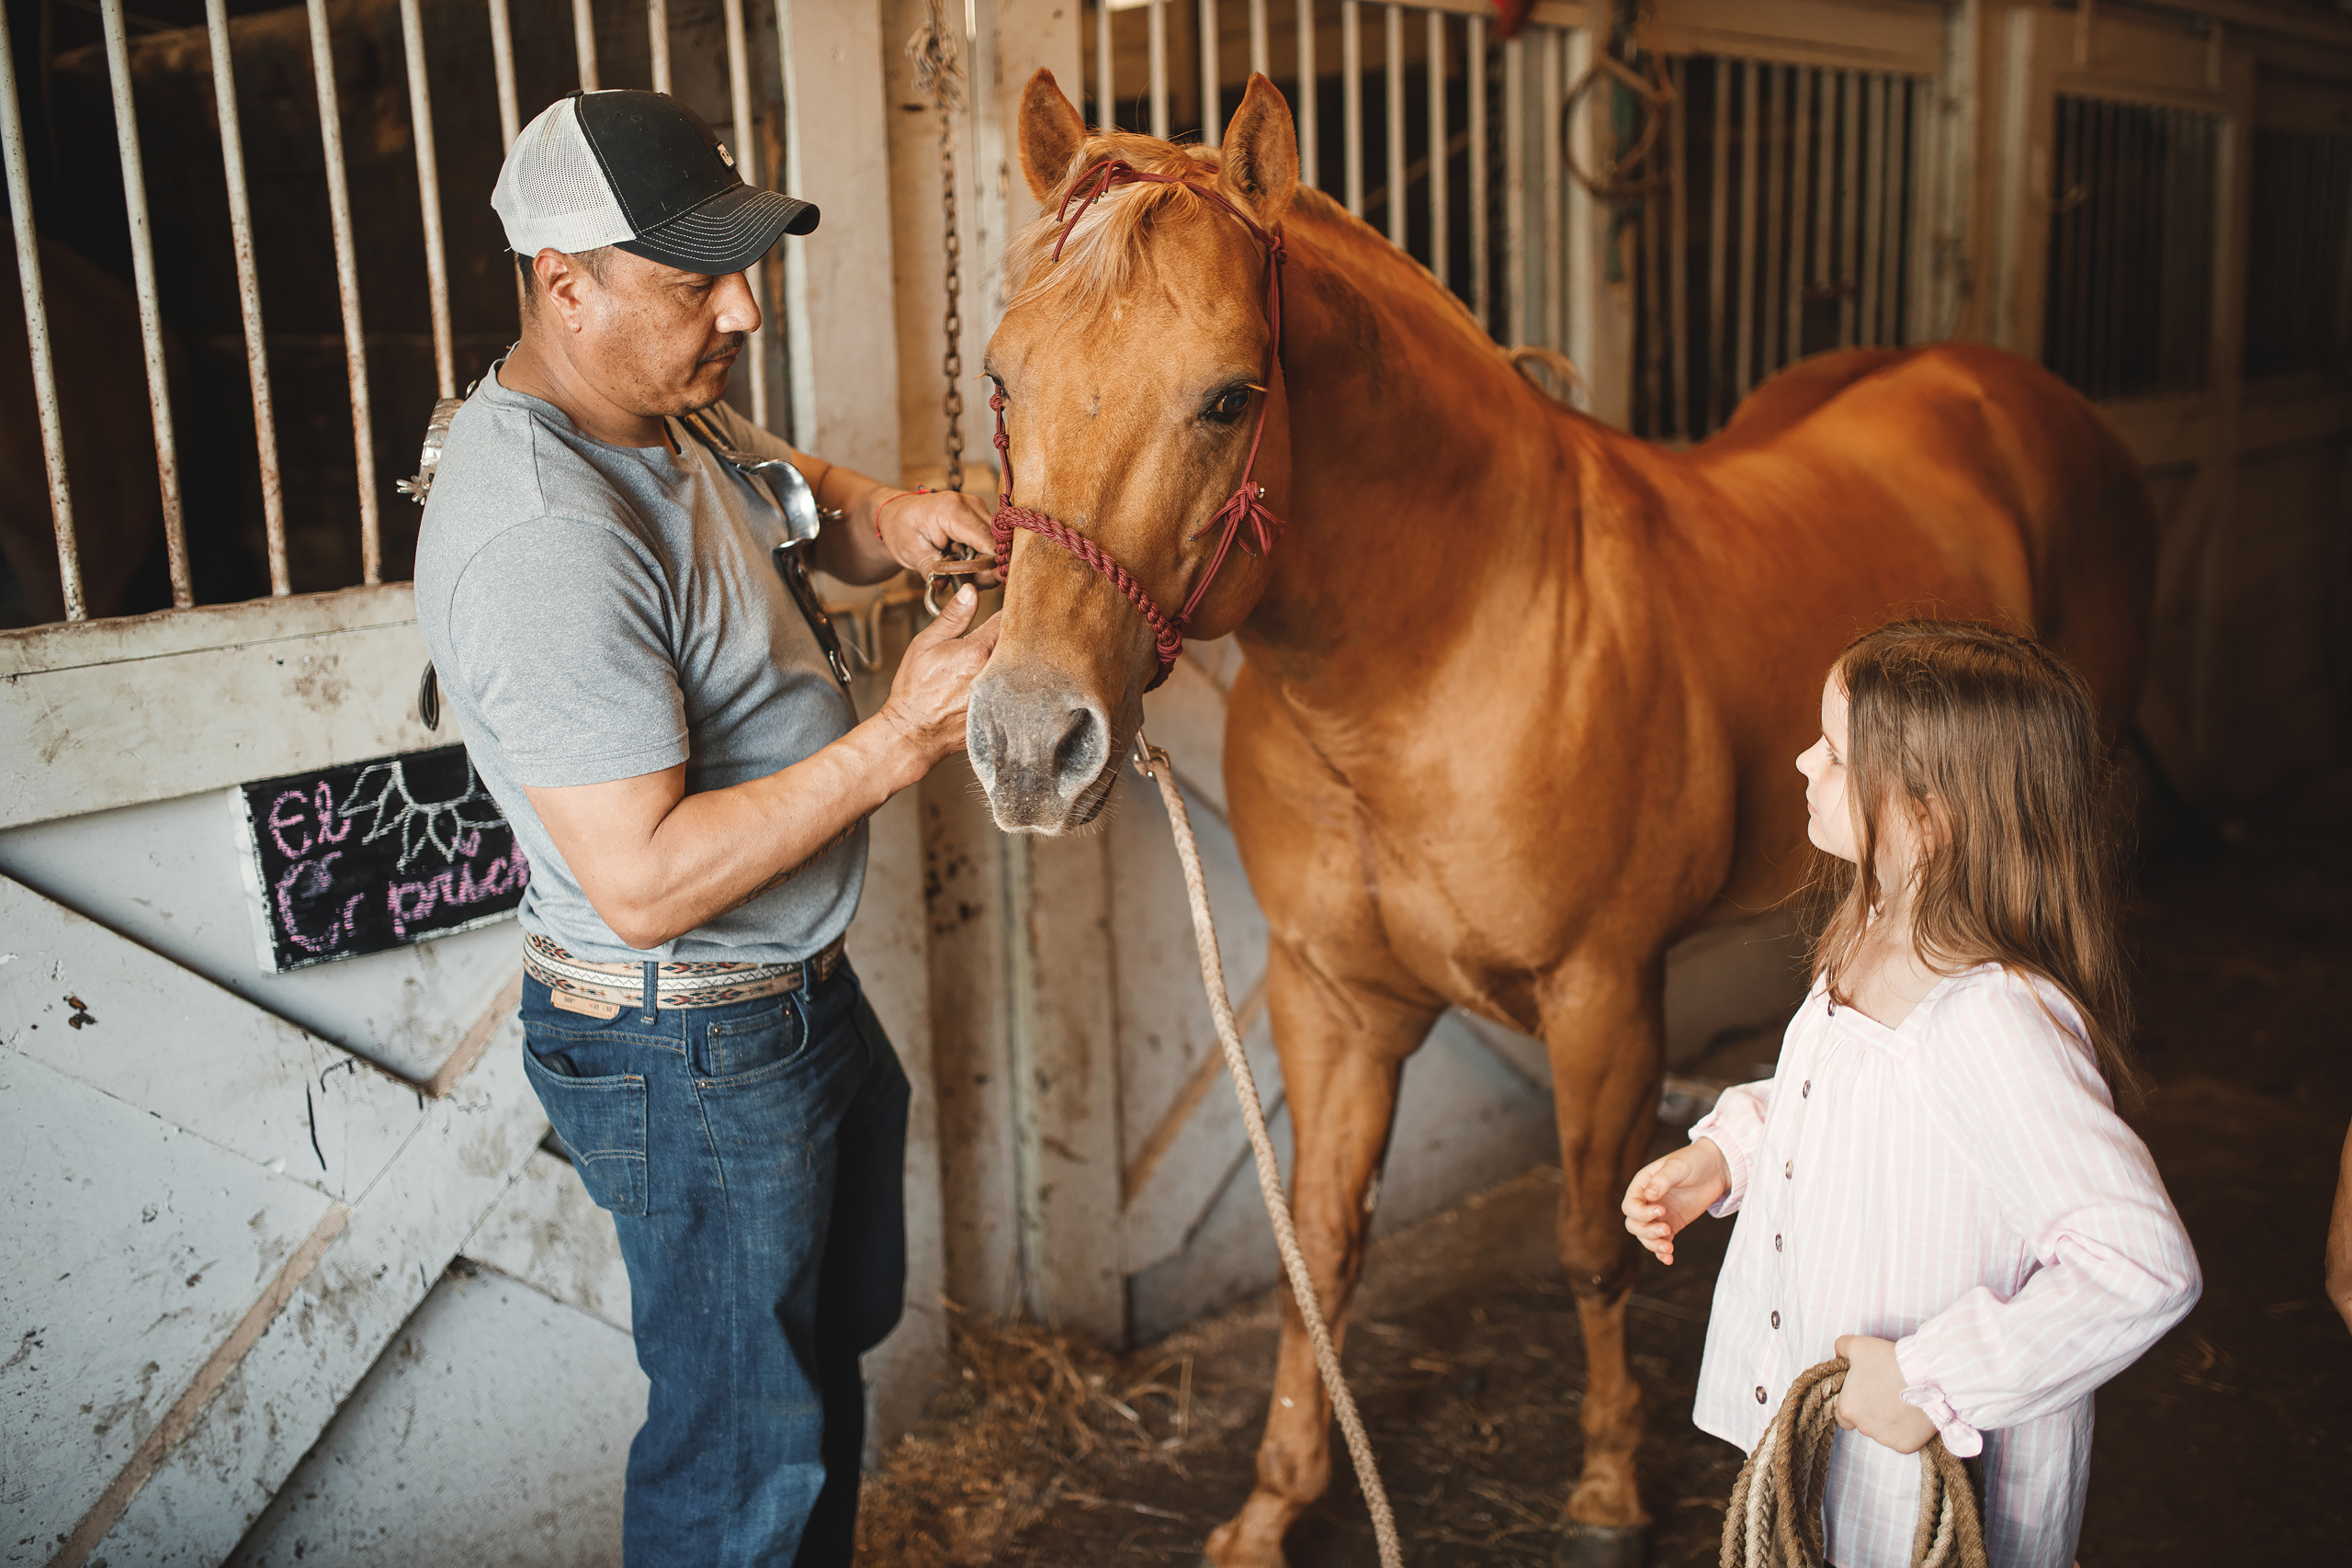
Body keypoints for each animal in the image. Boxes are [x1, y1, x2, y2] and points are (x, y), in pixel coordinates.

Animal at [967, 71, 2154, 1566]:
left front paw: (1606, 1488)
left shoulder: (1603, 996)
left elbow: (1592, 1237)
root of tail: (2009, 387)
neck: (1427, 655)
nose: (1029, 743)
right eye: (1001, 376)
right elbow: (1318, 1251)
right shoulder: (1330, 998)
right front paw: (1274, 1501)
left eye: (1230, 396)